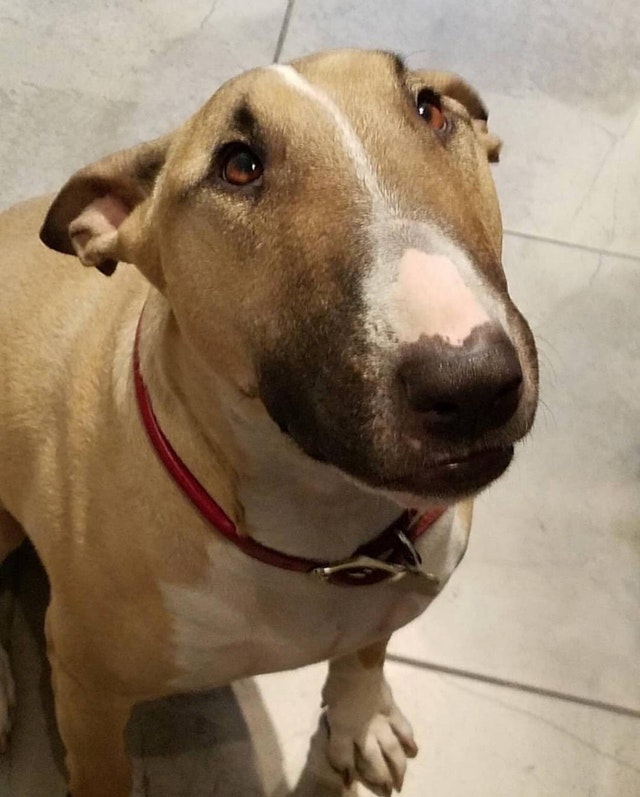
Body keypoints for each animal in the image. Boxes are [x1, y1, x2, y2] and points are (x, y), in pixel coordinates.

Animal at [0, 48, 540, 796]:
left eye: (430, 109)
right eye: (238, 165)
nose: (473, 386)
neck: (321, 530)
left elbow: (367, 650)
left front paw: (360, 719)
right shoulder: (86, 686)